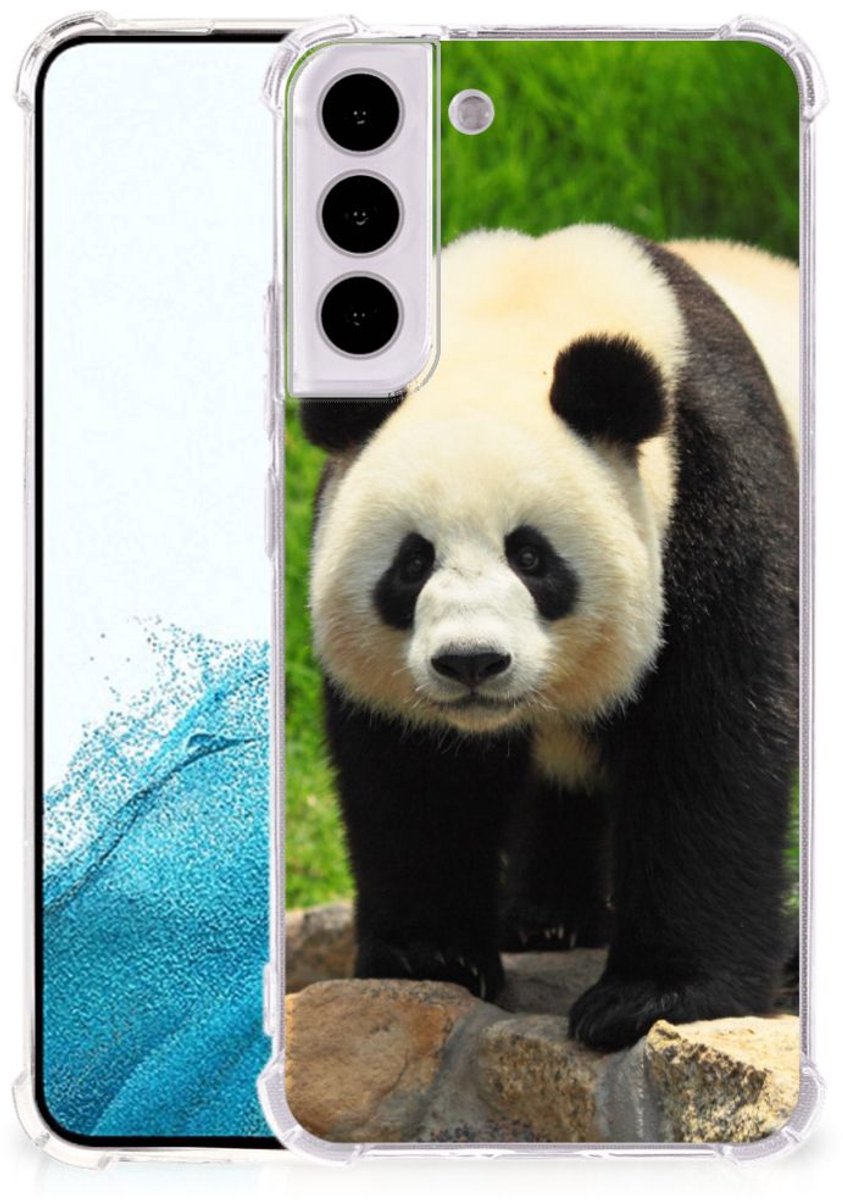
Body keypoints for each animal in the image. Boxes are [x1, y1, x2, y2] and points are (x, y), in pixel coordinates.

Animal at [298, 225, 799, 1052]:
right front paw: (430, 956)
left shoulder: (714, 493)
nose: (471, 662)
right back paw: (546, 920)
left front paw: (651, 997)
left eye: (530, 557)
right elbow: (415, 772)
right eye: (411, 562)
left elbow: (708, 741)